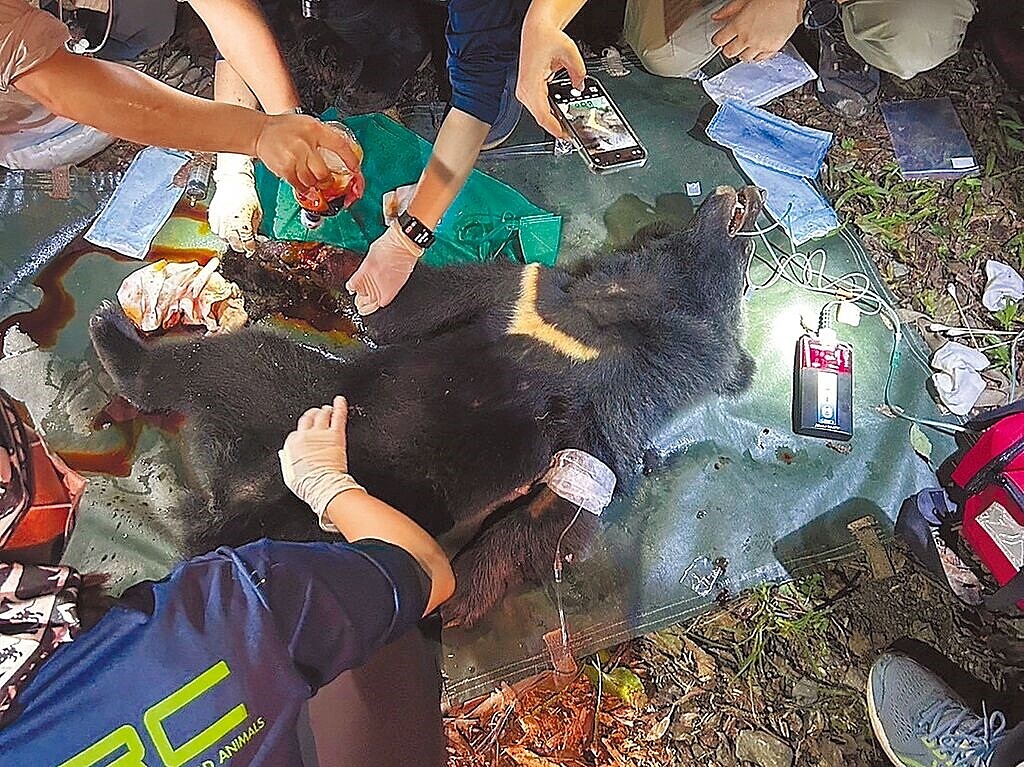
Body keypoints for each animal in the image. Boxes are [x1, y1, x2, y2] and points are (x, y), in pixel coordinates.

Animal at [88, 187, 761, 626]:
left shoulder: (610, 409)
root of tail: (231, 494)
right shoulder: (525, 290)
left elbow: (568, 499)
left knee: (230, 366)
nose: (738, 190)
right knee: (224, 361)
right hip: (310, 394)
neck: (607, 319)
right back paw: (115, 335)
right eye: (743, 260)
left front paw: (463, 598)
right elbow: (413, 304)